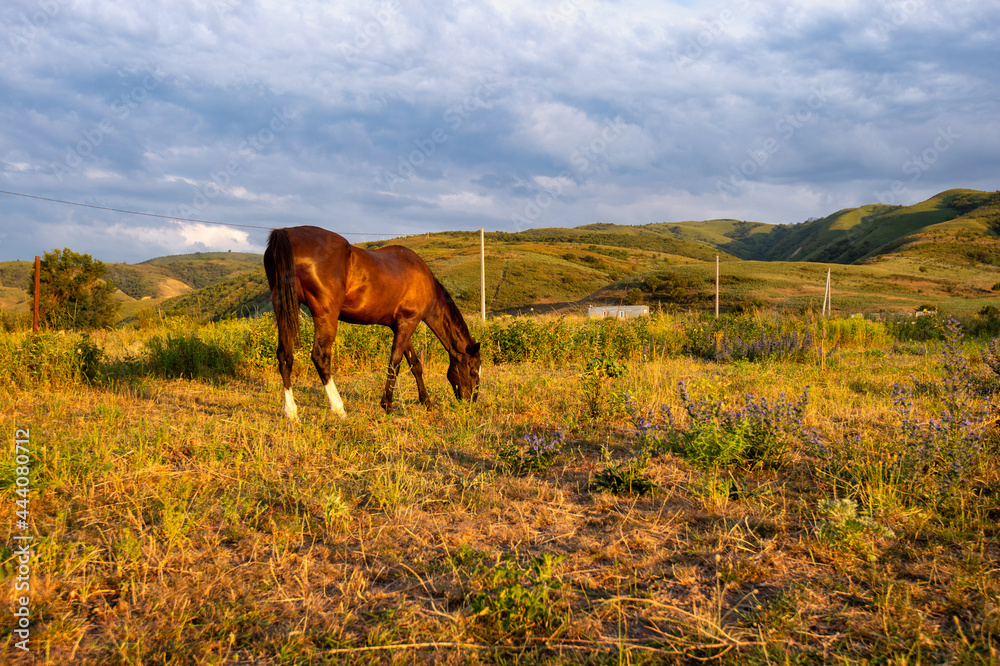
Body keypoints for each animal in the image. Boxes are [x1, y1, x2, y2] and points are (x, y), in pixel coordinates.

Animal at [262, 226, 480, 418]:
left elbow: (415, 365)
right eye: (473, 371)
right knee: (320, 357)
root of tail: (286, 233)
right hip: (325, 316)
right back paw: (339, 409)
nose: (471, 401)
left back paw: (291, 412)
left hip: (284, 309)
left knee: (284, 355)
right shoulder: (408, 323)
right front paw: (388, 405)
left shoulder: (400, 326)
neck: (424, 280)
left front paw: (427, 402)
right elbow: (395, 364)